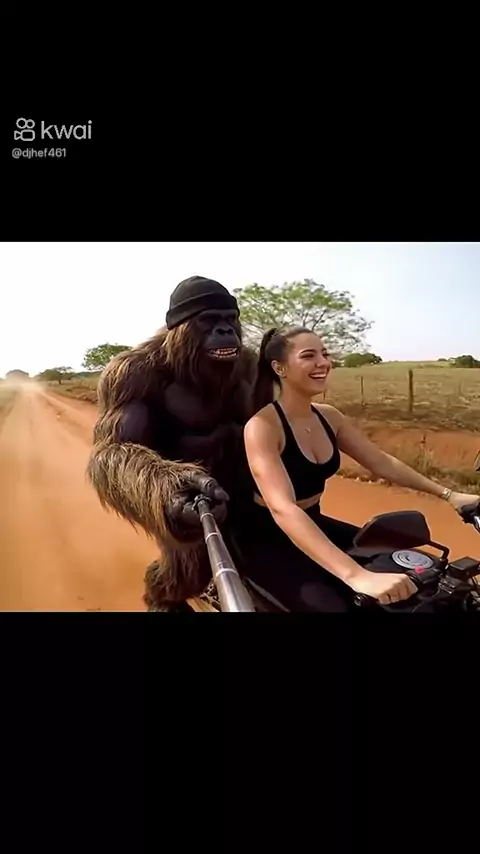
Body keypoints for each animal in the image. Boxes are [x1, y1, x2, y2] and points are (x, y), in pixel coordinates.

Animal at [86, 276, 258, 611]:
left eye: (230, 318)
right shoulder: (126, 375)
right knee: (187, 564)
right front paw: (179, 492)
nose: (225, 330)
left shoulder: (250, 364)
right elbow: (113, 446)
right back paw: (161, 597)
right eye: (208, 319)